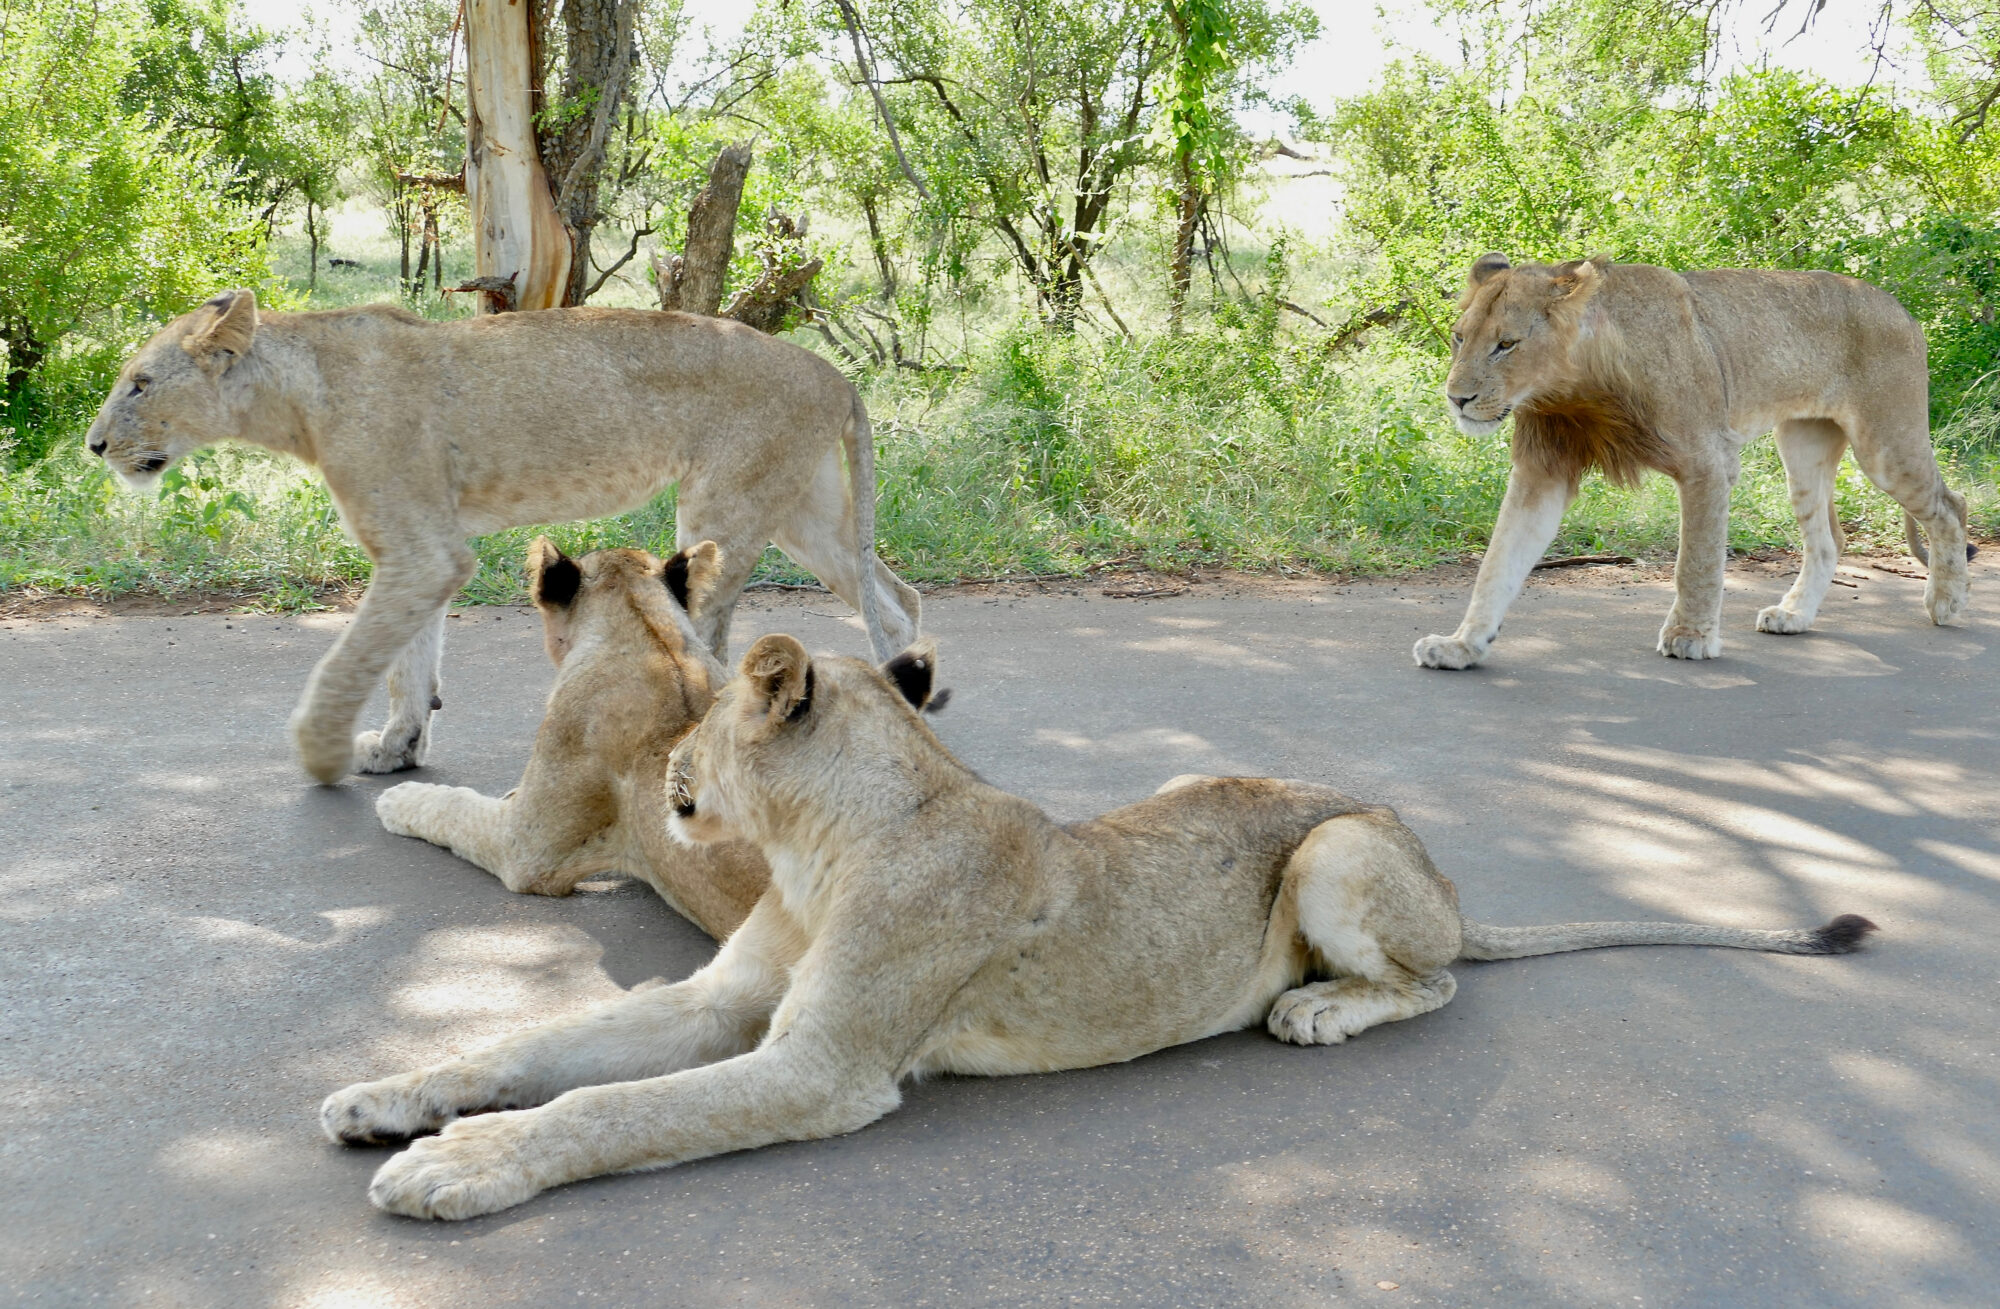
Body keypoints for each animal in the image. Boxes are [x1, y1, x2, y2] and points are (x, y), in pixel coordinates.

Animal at [83, 290, 922, 782]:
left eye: (140, 385)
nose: (92, 446)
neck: (296, 396)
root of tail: (835, 373)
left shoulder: (422, 550)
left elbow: (354, 658)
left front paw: (320, 753)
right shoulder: (424, 551)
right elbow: (407, 659)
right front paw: (400, 745)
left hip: (725, 508)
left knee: (717, 647)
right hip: (801, 513)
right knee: (896, 596)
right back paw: (913, 691)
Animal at [322, 636, 1876, 1220]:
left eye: (698, 717)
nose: (668, 778)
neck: (820, 847)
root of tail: (1448, 880)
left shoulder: (823, 1071)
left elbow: (609, 1110)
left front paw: (461, 1165)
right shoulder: (719, 1006)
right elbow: (539, 1045)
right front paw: (387, 1090)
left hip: (1338, 848)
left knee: (1433, 986)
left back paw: (1315, 1008)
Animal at [1415, 254, 1974, 670]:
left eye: (1506, 344)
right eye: (1460, 337)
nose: (1456, 399)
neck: (1573, 388)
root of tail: (1901, 308)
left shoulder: (1709, 462)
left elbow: (1697, 562)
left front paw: (1690, 636)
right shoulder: (1542, 471)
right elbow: (1497, 565)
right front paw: (1462, 646)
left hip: (1885, 445)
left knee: (1951, 506)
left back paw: (1947, 602)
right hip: (1802, 446)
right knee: (1829, 539)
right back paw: (1794, 616)